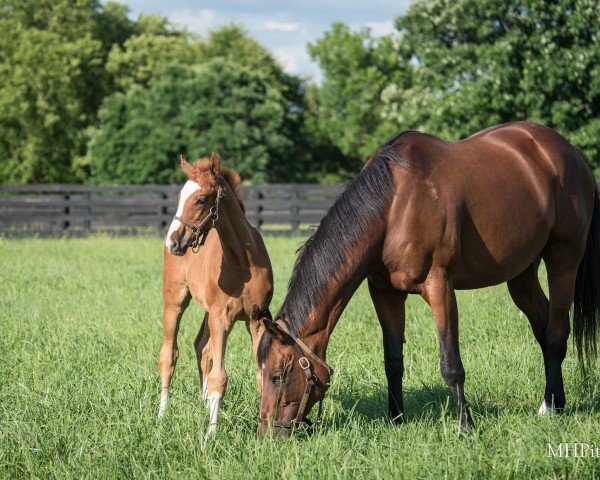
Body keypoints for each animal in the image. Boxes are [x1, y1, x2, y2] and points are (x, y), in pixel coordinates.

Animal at [158, 154, 274, 436]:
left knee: (202, 348)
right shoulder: (221, 318)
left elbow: (260, 374)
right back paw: (161, 417)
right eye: (179, 196)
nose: (172, 241)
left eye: (201, 199)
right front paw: (211, 435)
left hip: (207, 309)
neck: (243, 263)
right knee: (169, 354)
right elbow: (219, 377)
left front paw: (264, 430)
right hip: (175, 300)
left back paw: (202, 405)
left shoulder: (256, 320)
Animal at [255, 123, 596, 436]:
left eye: (277, 375)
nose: (269, 434)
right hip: (521, 275)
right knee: (544, 327)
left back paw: (550, 407)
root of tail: (568, 152)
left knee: (556, 334)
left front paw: (466, 427)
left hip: (564, 259)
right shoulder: (384, 292)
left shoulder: (439, 286)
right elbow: (393, 361)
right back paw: (555, 401)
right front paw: (396, 419)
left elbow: (451, 364)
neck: (394, 205)